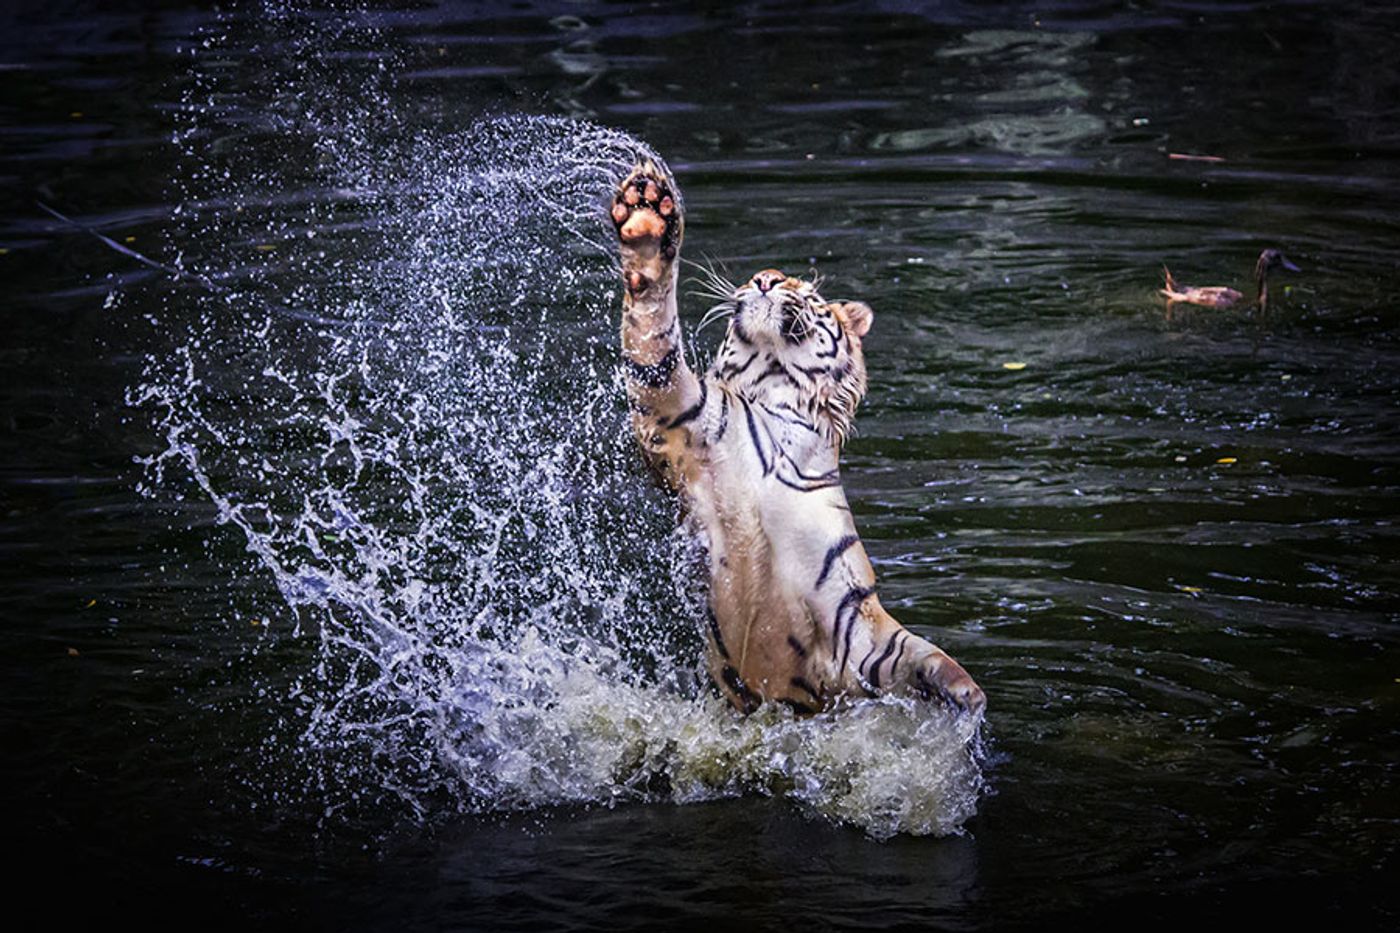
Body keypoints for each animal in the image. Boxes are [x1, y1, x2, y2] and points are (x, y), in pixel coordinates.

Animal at [610, 158, 985, 717]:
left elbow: (910, 650)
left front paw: (966, 694)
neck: (776, 401)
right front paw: (647, 221)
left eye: (806, 290)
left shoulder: (853, 616)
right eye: (759, 278)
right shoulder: (683, 420)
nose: (765, 277)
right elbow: (654, 342)